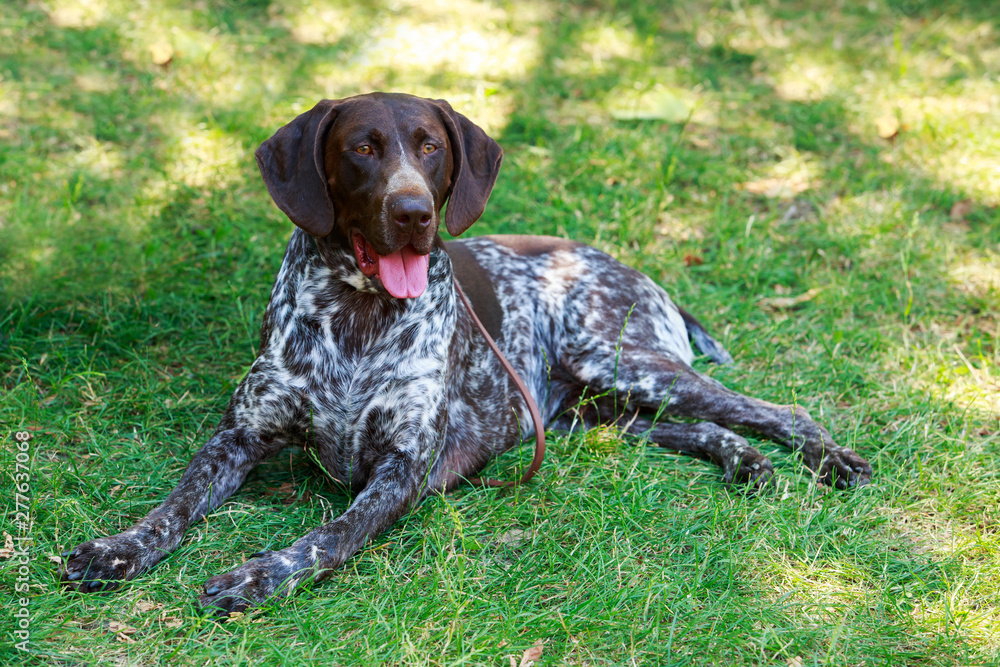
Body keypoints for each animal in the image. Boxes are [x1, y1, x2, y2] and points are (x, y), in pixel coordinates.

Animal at [62, 92, 872, 616]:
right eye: (361, 148)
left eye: (430, 147)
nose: (414, 213)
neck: (357, 316)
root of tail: (636, 272)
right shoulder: (239, 437)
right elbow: (174, 504)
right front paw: (119, 548)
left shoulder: (402, 470)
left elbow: (326, 538)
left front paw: (262, 574)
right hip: (594, 414)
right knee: (703, 426)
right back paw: (745, 462)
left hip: (625, 363)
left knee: (774, 407)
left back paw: (830, 458)